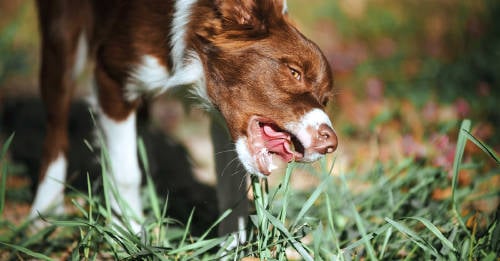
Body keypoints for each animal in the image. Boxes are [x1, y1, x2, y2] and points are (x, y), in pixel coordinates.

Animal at [30, 0, 336, 235]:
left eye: (325, 100)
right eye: (294, 72)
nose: (330, 143)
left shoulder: (221, 120)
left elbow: (232, 192)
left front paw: (233, 248)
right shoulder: (112, 78)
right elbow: (126, 172)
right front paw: (129, 233)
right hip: (62, 35)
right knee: (56, 125)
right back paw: (44, 209)